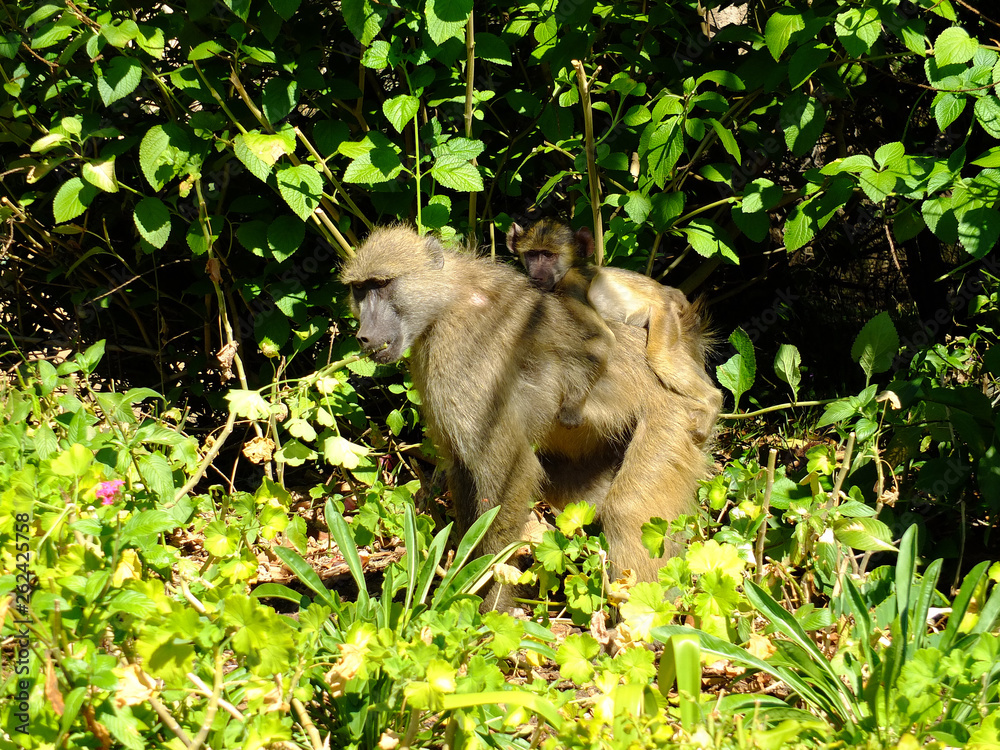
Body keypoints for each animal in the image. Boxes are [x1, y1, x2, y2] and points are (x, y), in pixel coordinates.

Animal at [340, 225, 705, 609]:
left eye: (383, 284)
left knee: (628, 512)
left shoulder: (460, 351)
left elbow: (510, 473)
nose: (364, 335)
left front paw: (486, 606)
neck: (449, 295)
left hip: (676, 415)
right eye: (359, 289)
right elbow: (464, 472)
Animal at [507, 218, 722, 447]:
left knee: (662, 358)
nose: (537, 275)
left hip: (664, 313)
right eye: (532, 254)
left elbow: (602, 338)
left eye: (548, 255)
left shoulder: (572, 287)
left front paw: (571, 411)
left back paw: (712, 400)